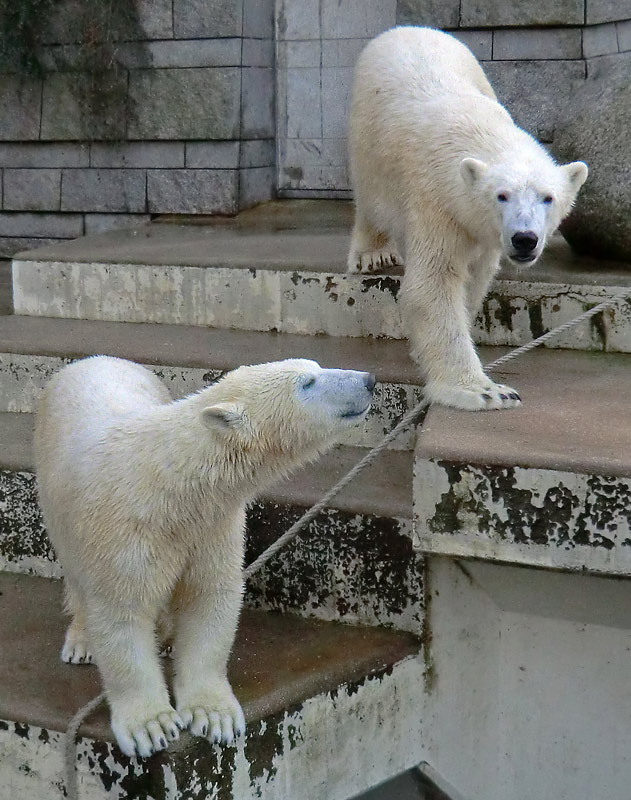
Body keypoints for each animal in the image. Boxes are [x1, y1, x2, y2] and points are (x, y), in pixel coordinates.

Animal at [34, 354, 376, 756]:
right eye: (306, 383)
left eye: (317, 366)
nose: (369, 380)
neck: (172, 483)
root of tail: (95, 359)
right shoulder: (122, 529)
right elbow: (122, 612)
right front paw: (150, 726)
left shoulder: (211, 525)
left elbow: (209, 598)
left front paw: (213, 716)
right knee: (74, 572)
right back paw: (81, 640)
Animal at [348, 26, 592, 412]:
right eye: (502, 195)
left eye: (547, 197)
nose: (525, 239)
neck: (477, 129)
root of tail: (407, 29)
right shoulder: (436, 200)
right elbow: (433, 284)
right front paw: (486, 391)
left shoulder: (481, 229)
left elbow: (475, 276)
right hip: (367, 134)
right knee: (369, 197)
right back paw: (372, 253)